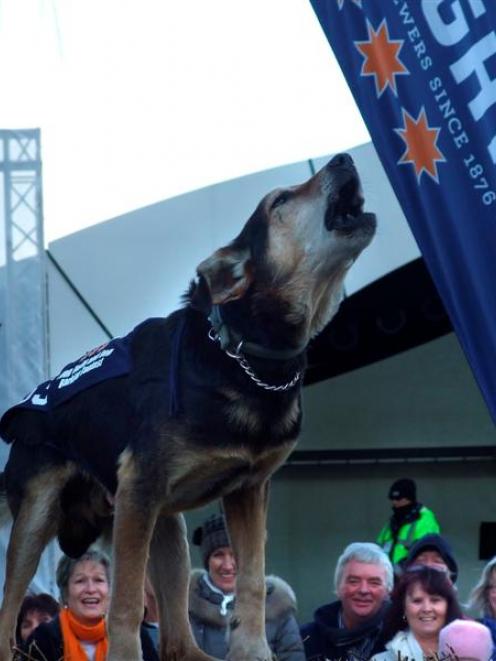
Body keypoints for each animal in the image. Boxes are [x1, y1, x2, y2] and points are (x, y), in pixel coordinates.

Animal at [0, 152, 374, 656]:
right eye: (280, 201)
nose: (344, 157)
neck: (243, 355)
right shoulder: (140, 487)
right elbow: (124, 604)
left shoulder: (248, 490)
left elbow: (252, 582)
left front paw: (254, 653)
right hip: (44, 514)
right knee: (8, 612)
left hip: (164, 523)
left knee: (177, 638)